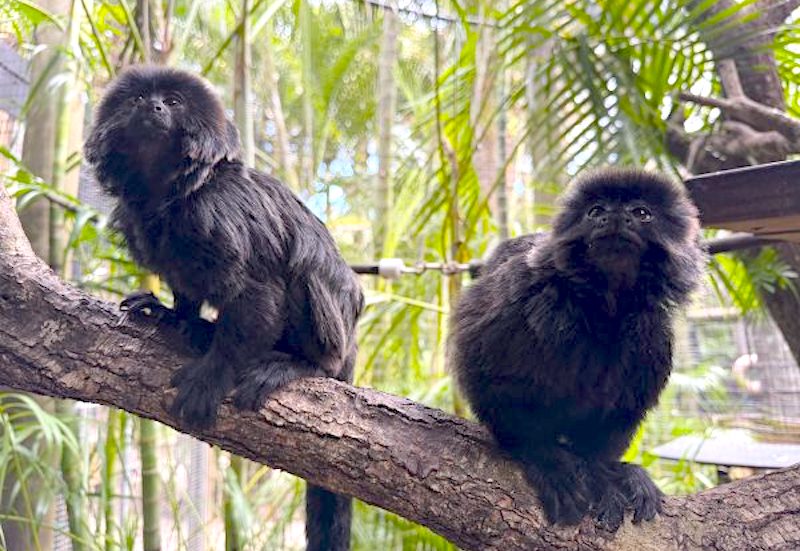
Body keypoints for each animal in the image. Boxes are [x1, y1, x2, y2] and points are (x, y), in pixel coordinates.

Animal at [84, 65, 363, 551]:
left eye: (174, 102)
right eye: (138, 98)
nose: (153, 106)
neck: (171, 193)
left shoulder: (220, 214)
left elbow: (259, 291)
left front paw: (213, 374)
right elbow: (185, 286)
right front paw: (175, 316)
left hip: (335, 325)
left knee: (307, 270)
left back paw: (301, 364)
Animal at [448, 168, 705, 531]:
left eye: (641, 213)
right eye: (596, 212)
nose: (616, 217)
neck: (604, 305)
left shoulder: (652, 334)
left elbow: (620, 411)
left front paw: (605, 471)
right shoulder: (524, 291)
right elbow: (488, 374)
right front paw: (545, 458)